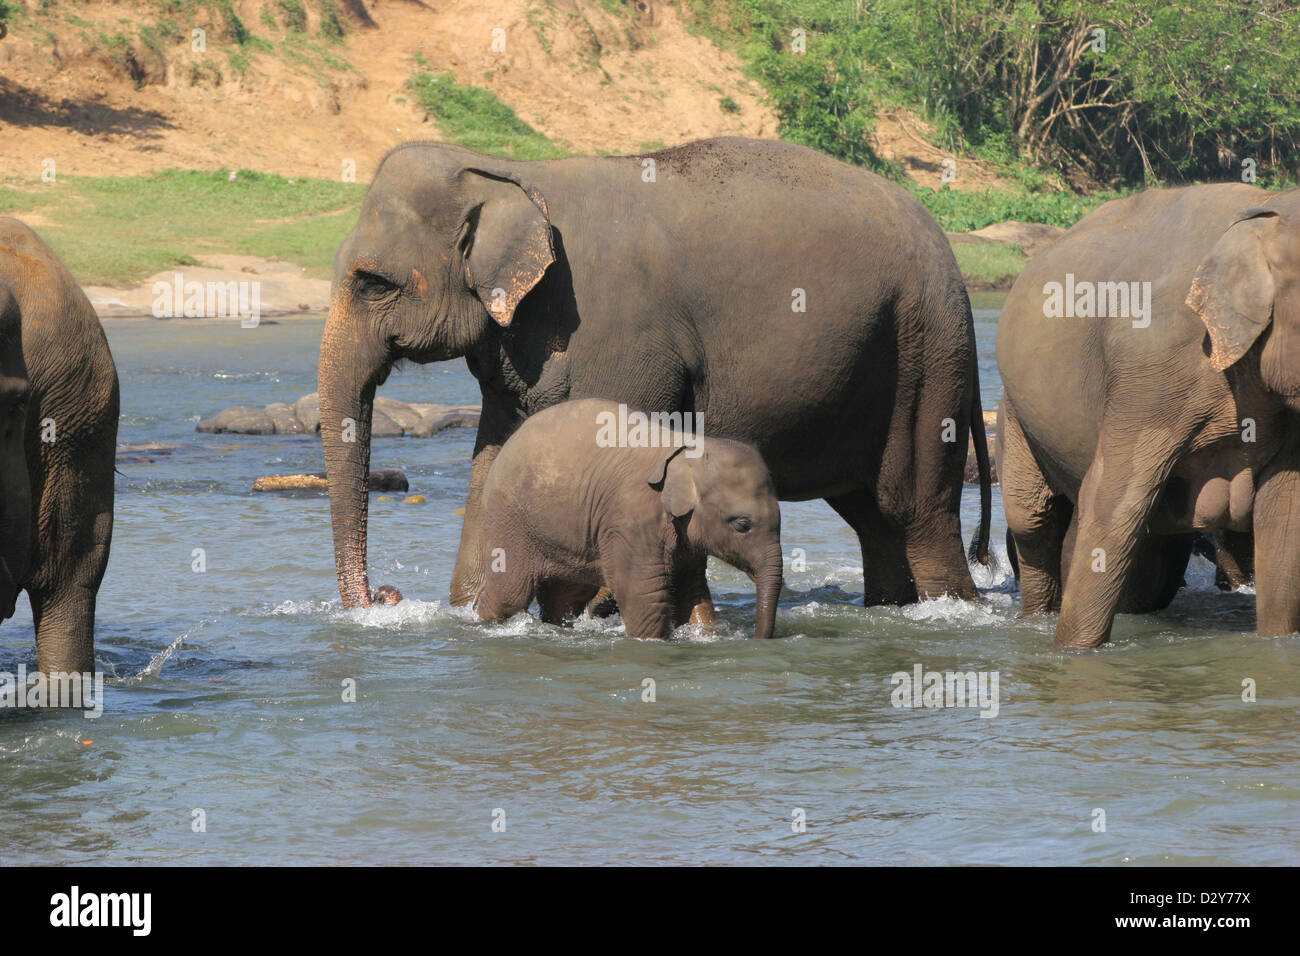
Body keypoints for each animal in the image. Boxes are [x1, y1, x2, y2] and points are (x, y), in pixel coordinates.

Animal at [319, 135, 987, 613]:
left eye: (372, 282)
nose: (384, 597)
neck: (508, 170)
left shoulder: (615, 334)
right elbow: (497, 457)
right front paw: (464, 607)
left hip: (925, 352)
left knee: (918, 510)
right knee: (874, 519)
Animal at [478, 400, 780, 639]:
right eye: (742, 525)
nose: (757, 640)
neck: (686, 449)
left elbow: (691, 590)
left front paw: (705, 635)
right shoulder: (631, 520)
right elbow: (643, 595)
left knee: (566, 596)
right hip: (507, 517)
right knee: (509, 595)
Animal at [998, 183, 1294, 647]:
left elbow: (1282, 517)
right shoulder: (1149, 367)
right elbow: (1113, 496)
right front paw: (1071, 652)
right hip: (1015, 409)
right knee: (1033, 519)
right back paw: (1035, 620)